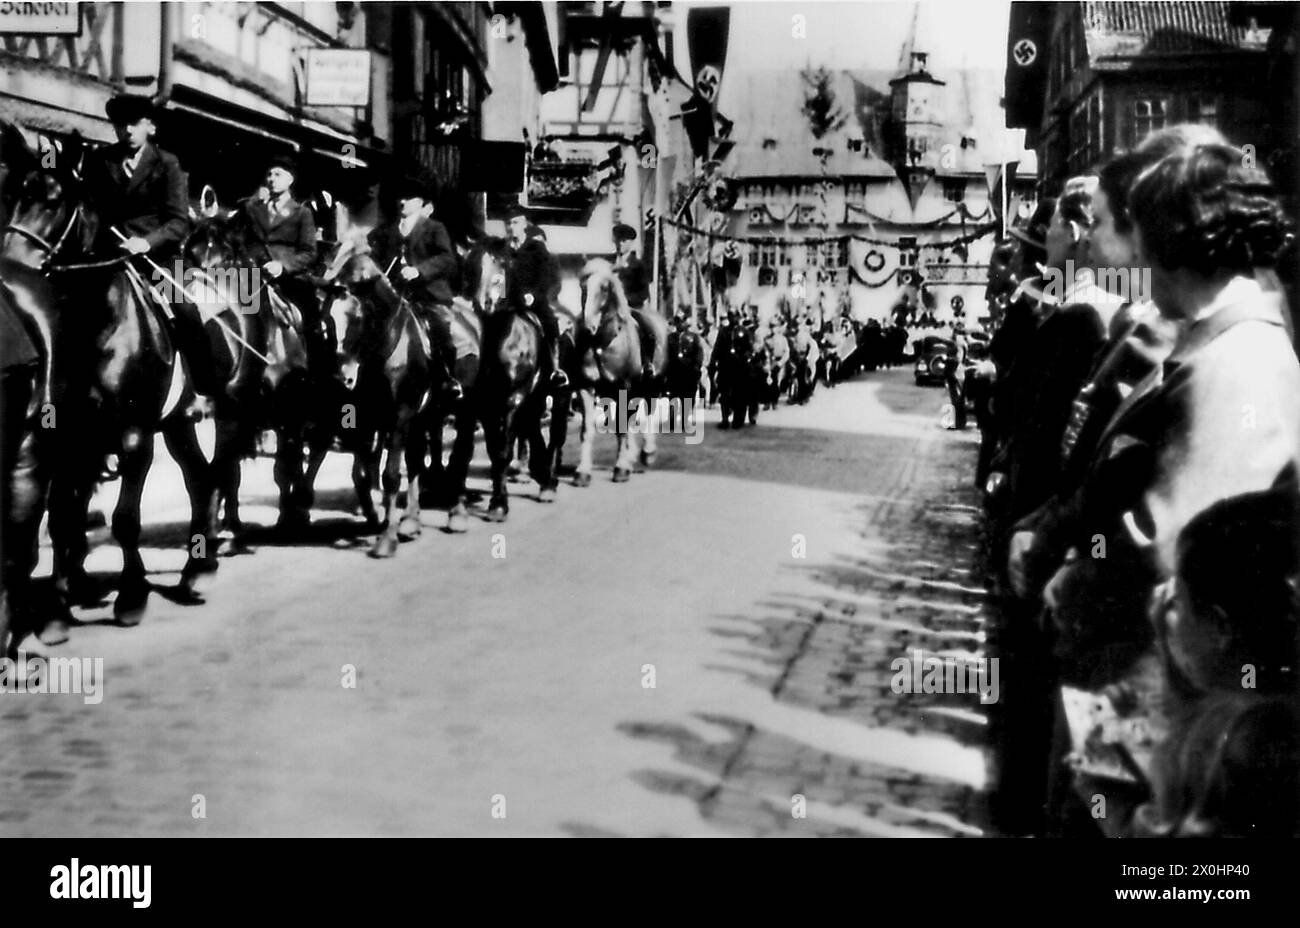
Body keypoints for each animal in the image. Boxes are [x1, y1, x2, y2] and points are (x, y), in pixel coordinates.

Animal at [1, 141, 223, 626]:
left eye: (52, 201)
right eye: (12, 194)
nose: (10, 267)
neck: (97, 321)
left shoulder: (134, 435)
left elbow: (124, 518)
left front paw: (131, 597)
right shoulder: (73, 437)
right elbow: (64, 516)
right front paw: (61, 599)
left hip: (181, 419)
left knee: (203, 478)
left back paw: (196, 573)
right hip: (173, 425)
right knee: (200, 477)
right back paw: (196, 571)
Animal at [561, 256, 665, 480]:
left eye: (604, 288)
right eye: (583, 287)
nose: (588, 326)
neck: (603, 342)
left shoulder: (624, 386)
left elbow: (622, 427)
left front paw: (621, 468)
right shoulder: (587, 387)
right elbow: (588, 429)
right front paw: (583, 472)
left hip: (651, 385)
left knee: (648, 413)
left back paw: (647, 453)